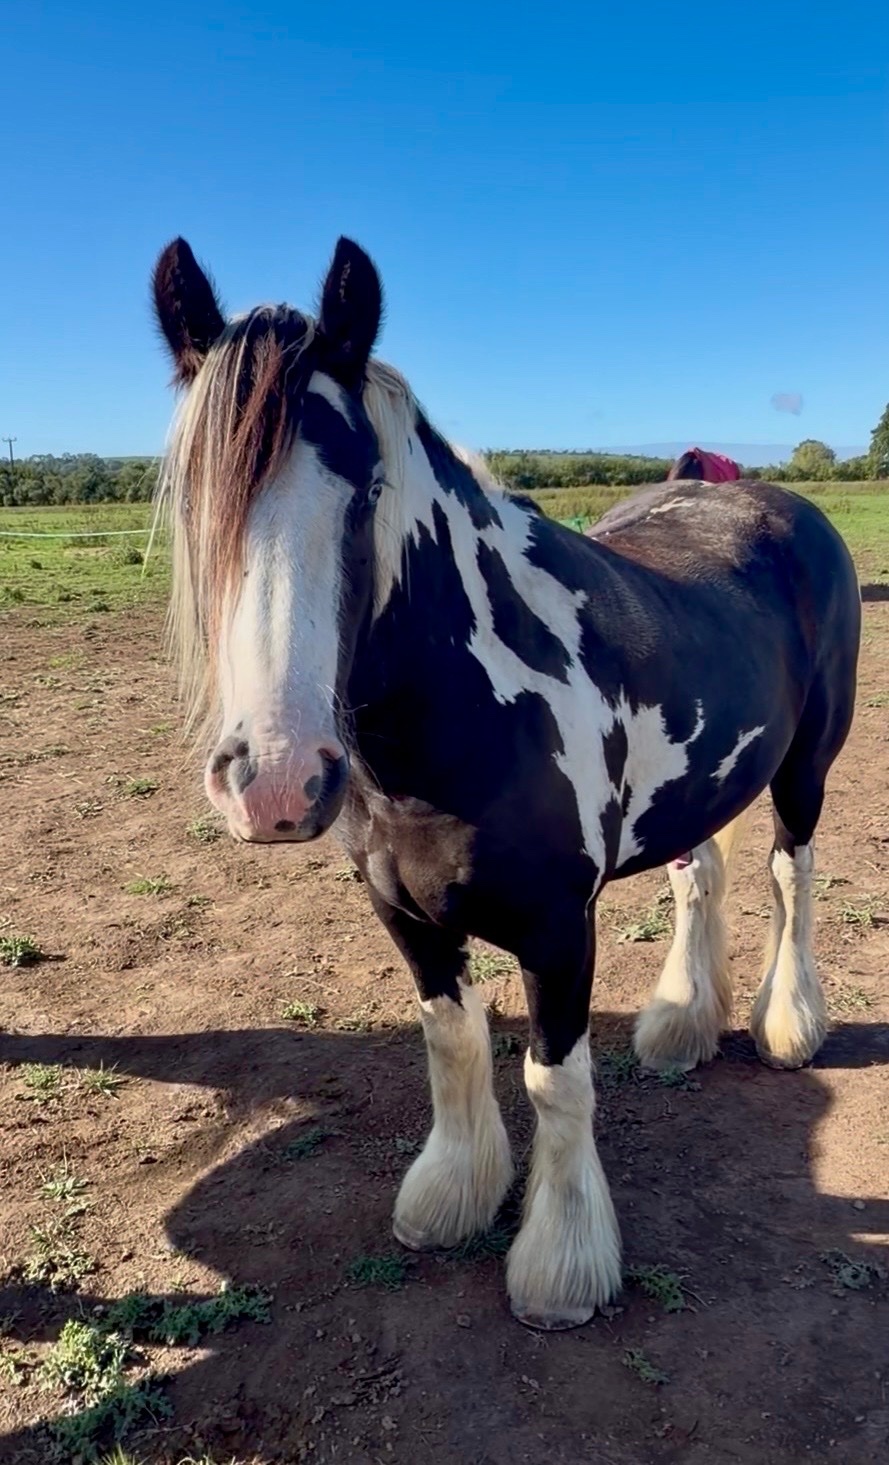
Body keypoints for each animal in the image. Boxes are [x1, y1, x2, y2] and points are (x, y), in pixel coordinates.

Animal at [151, 235, 861, 1332]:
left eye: (365, 492)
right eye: (196, 497)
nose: (275, 781)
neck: (460, 720)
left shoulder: (559, 930)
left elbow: (553, 1080)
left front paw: (559, 1267)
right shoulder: (404, 914)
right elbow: (451, 1042)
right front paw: (450, 1198)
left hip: (804, 768)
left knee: (791, 877)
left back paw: (786, 1024)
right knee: (699, 880)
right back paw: (679, 1025)